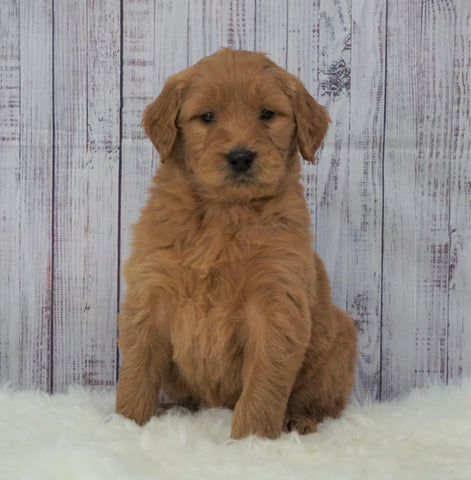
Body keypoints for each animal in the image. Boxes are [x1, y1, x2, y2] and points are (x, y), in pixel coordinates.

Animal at [117, 48, 358, 438]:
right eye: (207, 116)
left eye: (267, 114)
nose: (241, 156)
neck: (224, 214)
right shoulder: (150, 295)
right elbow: (136, 374)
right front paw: (125, 423)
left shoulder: (276, 305)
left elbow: (263, 387)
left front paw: (251, 440)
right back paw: (173, 410)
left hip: (340, 345)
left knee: (323, 404)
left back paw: (298, 420)